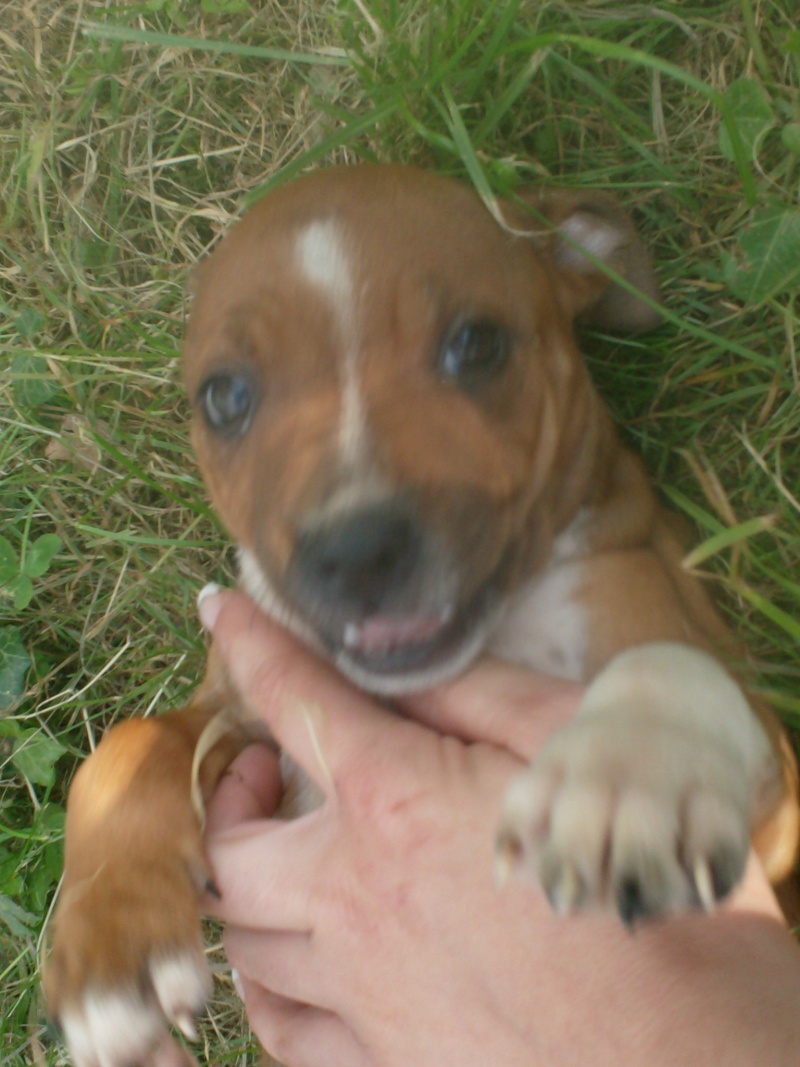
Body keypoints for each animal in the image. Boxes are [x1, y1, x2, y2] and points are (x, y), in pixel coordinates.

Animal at [45, 164, 800, 1067]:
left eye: (476, 344)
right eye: (225, 396)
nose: (354, 549)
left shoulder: (774, 801)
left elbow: (671, 663)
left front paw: (632, 771)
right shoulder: (241, 707)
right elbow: (126, 749)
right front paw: (108, 944)